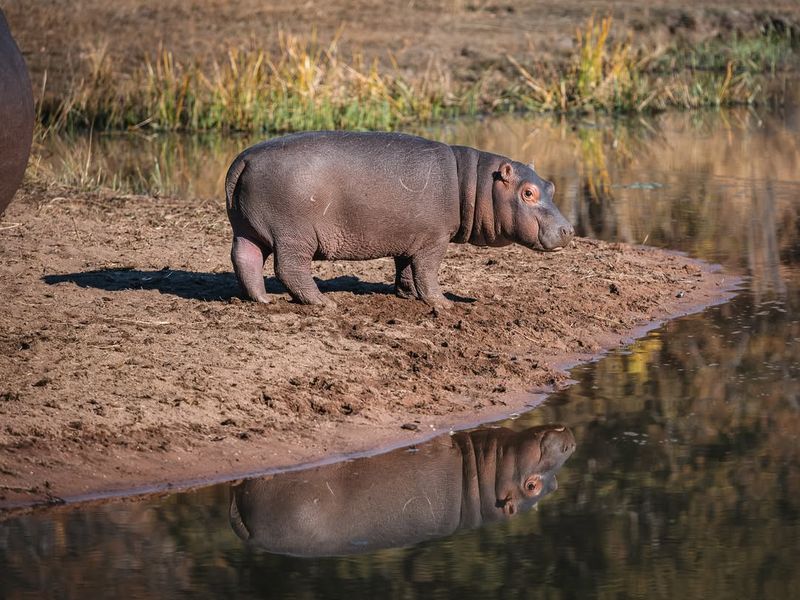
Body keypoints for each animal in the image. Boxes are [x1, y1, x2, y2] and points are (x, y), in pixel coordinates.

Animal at [225, 129, 576, 308]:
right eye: (528, 192)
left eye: (550, 185)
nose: (569, 229)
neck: (474, 182)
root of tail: (245, 158)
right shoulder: (434, 239)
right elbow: (427, 271)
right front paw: (444, 304)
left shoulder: (410, 236)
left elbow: (406, 268)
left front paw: (407, 295)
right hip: (294, 235)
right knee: (290, 268)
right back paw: (323, 303)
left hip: (247, 228)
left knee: (245, 257)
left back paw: (262, 300)